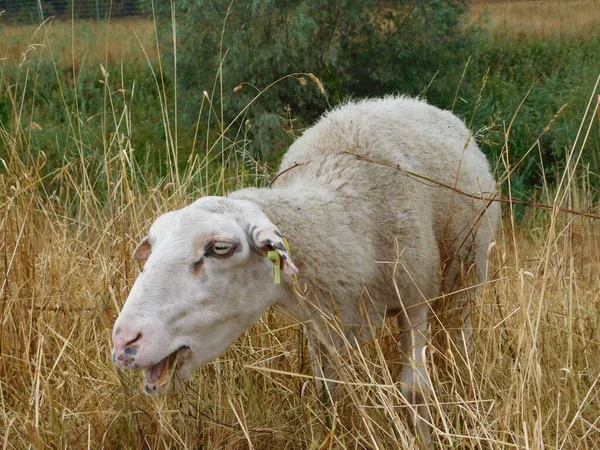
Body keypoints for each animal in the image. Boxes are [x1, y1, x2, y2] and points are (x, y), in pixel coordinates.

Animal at [111, 96, 496, 444]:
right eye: (152, 246)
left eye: (220, 248)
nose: (124, 342)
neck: (346, 220)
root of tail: (412, 100)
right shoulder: (319, 319)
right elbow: (328, 391)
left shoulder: (414, 299)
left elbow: (415, 392)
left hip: (468, 271)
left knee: (461, 330)